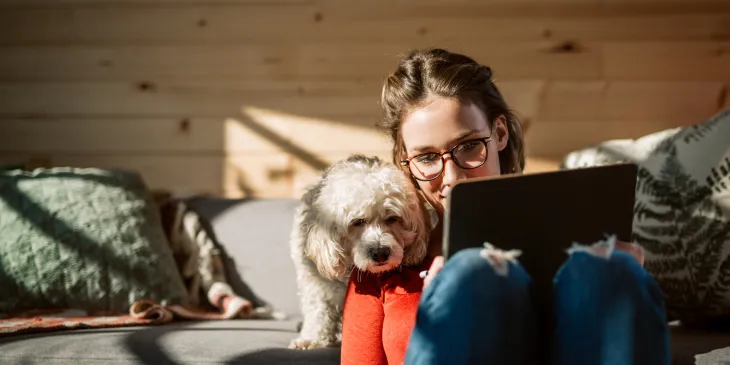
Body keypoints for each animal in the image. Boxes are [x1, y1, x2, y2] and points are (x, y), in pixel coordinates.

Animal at [288, 154, 430, 350]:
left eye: (393, 218)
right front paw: (312, 338)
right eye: (358, 221)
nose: (380, 252)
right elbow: (318, 310)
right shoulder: (315, 283)